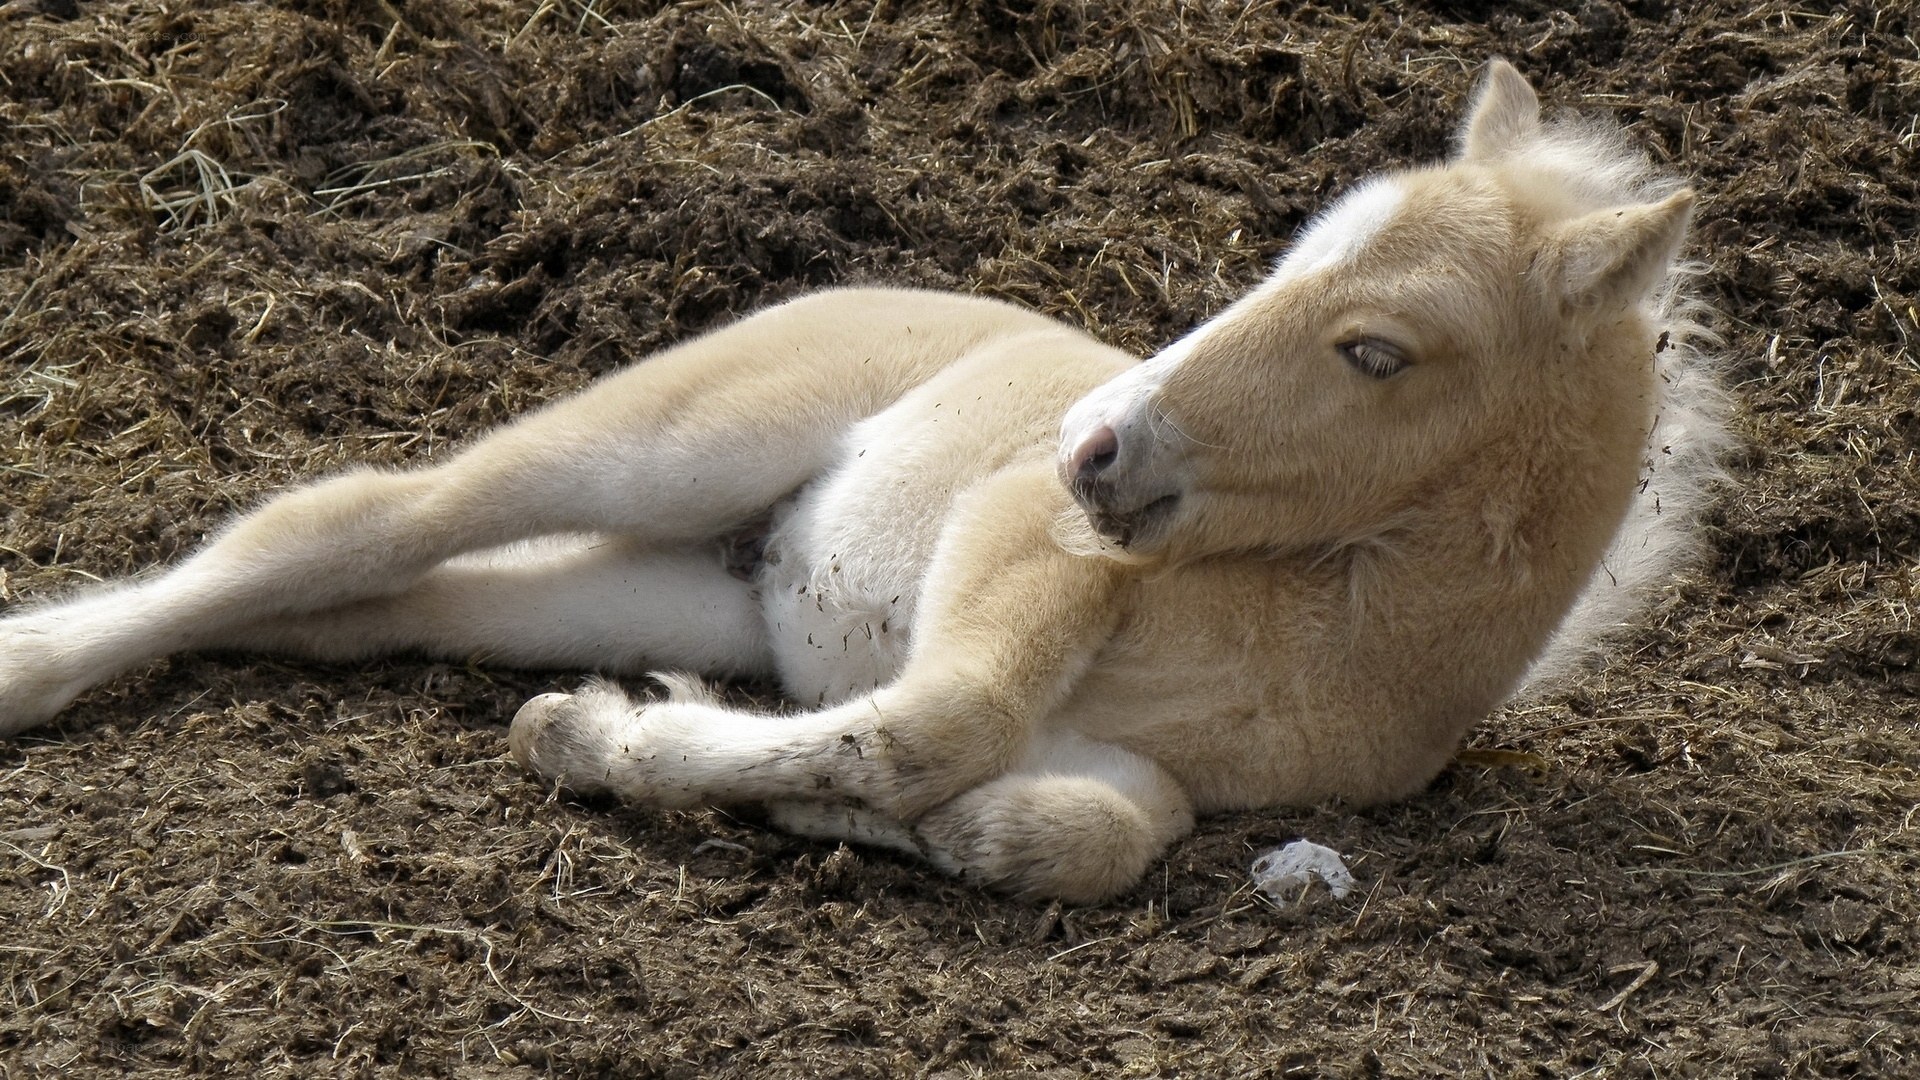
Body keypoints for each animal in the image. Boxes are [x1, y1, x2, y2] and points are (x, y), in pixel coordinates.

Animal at [0, 62, 1726, 904]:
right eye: (1293, 254)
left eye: (1379, 351)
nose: (1095, 445)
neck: (1321, 634)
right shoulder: (1027, 545)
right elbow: (936, 726)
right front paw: (623, 748)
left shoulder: (1139, 771)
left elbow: (1060, 837)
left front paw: (652, 745)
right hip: (677, 438)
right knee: (355, 517)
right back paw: (33, 667)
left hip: (687, 581)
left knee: (380, 597)